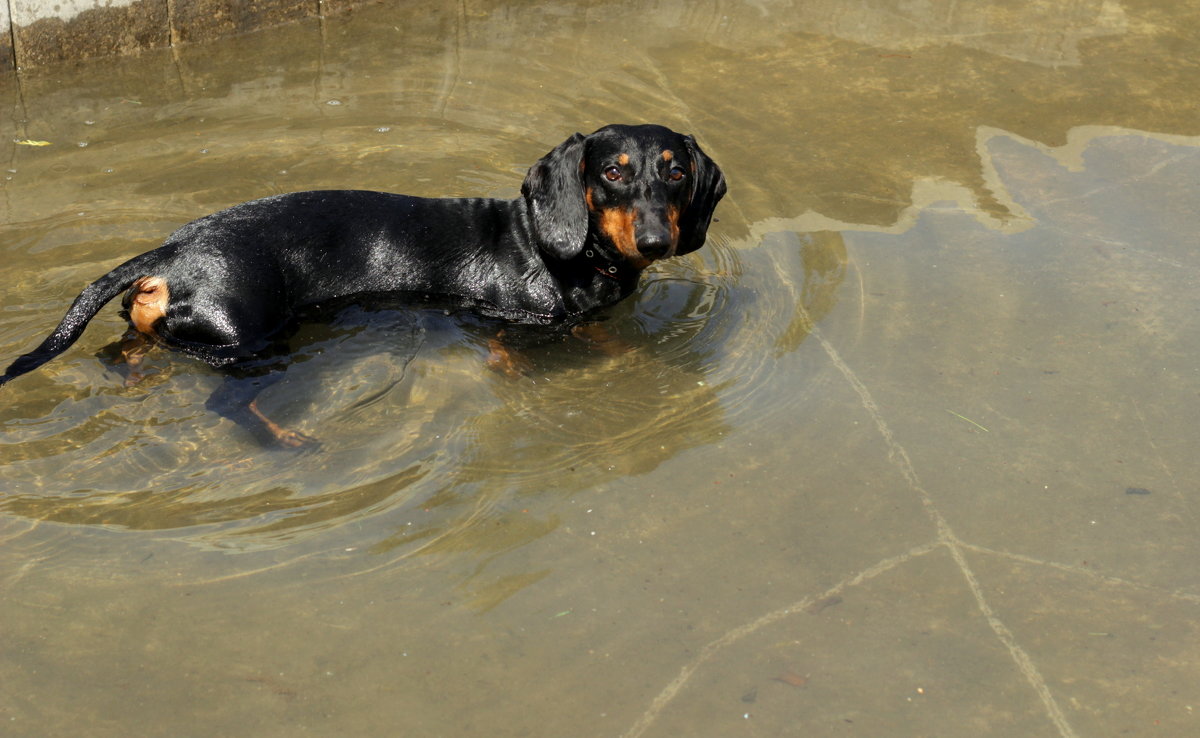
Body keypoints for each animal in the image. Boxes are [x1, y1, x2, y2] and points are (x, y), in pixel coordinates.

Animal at [2, 124, 720, 444]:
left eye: (676, 170)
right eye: (613, 172)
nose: (655, 241)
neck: (553, 249)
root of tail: (174, 250)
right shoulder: (507, 330)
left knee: (120, 349)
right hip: (253, 344)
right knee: (226, 408)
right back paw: (285, 442)